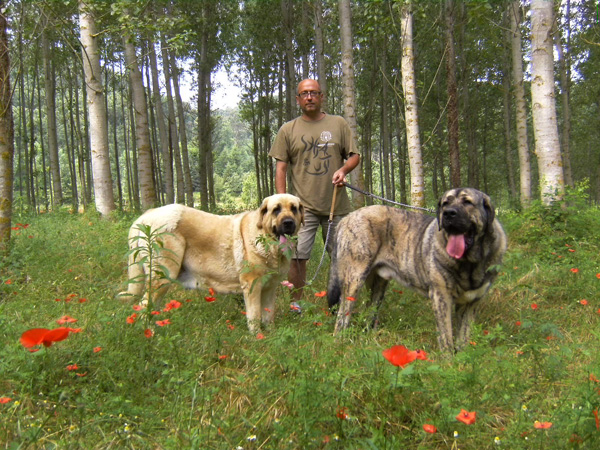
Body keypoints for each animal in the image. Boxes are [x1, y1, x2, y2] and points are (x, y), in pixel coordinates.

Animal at [120, 195, 304, 332]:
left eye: (294, 208)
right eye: (276, 209)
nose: (288, 222)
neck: (266, 241)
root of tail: (146, 215)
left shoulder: (269, 288)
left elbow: (268, 315)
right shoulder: (252, 286)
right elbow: (255, 316)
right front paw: (257, 338)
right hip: (162, 276)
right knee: (144, 306)